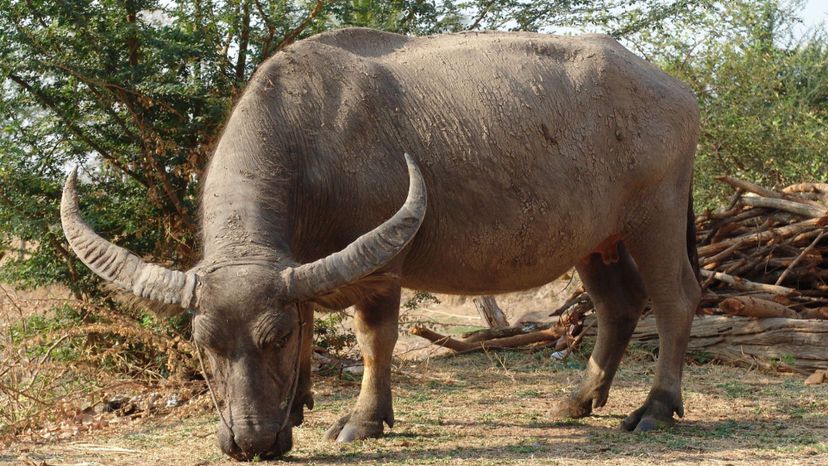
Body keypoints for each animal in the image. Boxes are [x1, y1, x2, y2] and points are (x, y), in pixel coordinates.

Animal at [61, 27, 700, 460]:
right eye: (204, 344)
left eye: (273, 340)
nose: (250, 440)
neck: (312, 144)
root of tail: (675, 89)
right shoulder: (300, 267)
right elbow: (313, 326)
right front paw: (299, 402)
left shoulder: (381, 269)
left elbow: (374, 341)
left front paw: (364, 420)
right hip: (597, 240)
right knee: (618, 304)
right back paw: (578, 399)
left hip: (658, 219)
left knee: (675, 300)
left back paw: (655, 407)